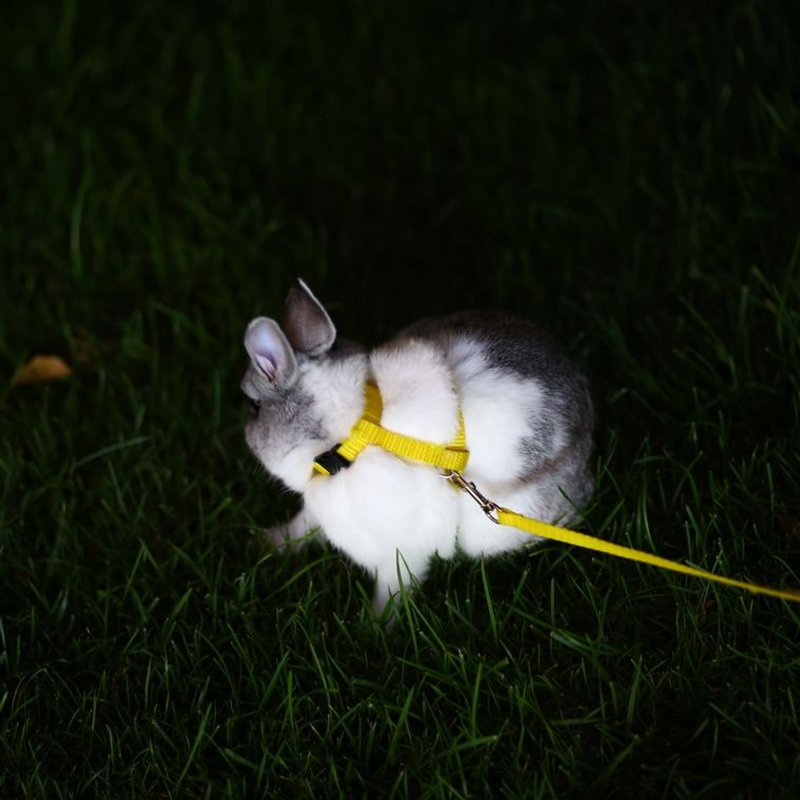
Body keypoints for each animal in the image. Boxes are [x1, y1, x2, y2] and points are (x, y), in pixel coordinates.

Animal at [241, 278, 594, 613]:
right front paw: (271, 541)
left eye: (254, 407)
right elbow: (303, 525)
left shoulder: (400, 553)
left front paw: (377, 625)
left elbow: (394, 588)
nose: (245, 433)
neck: (356, 429)